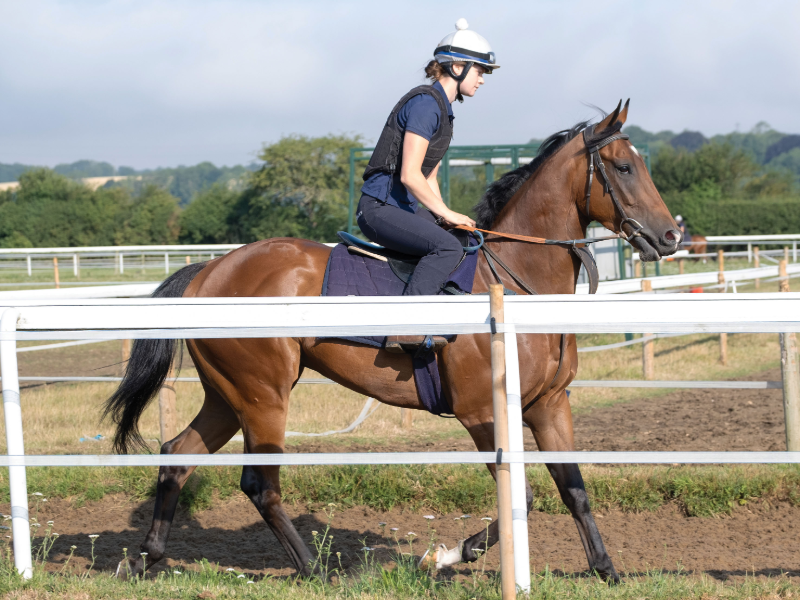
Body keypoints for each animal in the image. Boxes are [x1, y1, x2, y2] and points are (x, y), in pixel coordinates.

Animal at [106, 100, 681, 582]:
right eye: (624, 167)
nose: (671, 236)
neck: (515, 278)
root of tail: (209, 271)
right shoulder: (482, 413)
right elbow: (524, 493)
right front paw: (447, 555)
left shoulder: (548, 404)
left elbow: (573, 489)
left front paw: (607, 570)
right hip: (263, 396)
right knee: (259, 484)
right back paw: (317, 570)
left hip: (230, 396)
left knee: (177, 456)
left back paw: (146, 559)